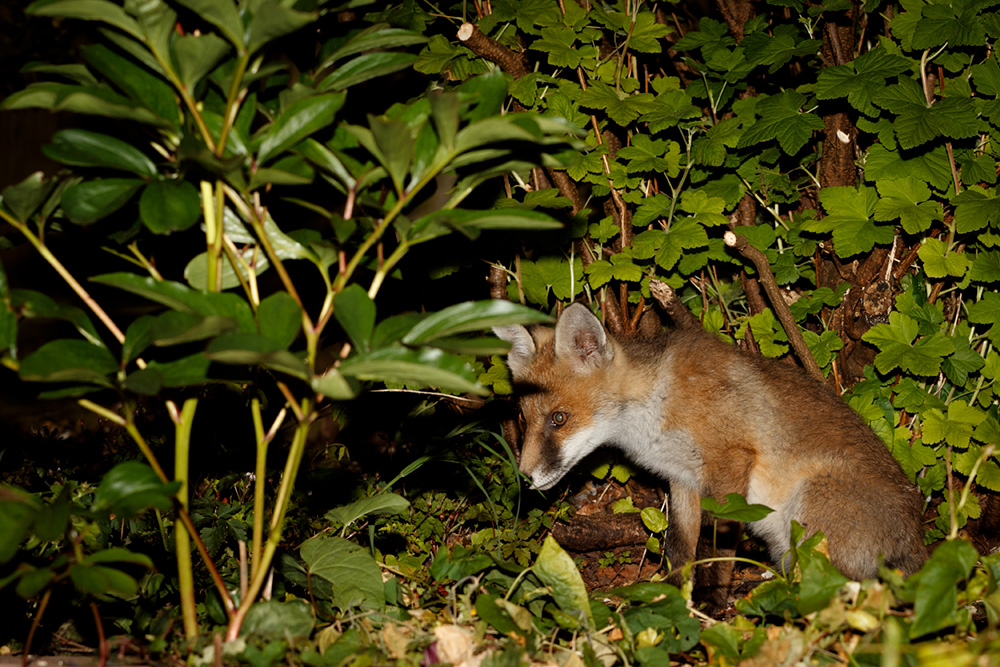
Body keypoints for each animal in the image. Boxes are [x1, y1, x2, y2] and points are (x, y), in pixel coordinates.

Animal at [495, 302, 927, 603]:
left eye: (559, 418)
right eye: (523, 417)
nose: (525, 476)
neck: (657, 402)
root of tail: (920, 547)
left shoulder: (730, 461)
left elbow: (717, 543)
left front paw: (711, 603)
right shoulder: (683, 478)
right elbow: (680, 547)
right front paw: (673, 597)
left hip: (809, 509)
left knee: (838, 584)